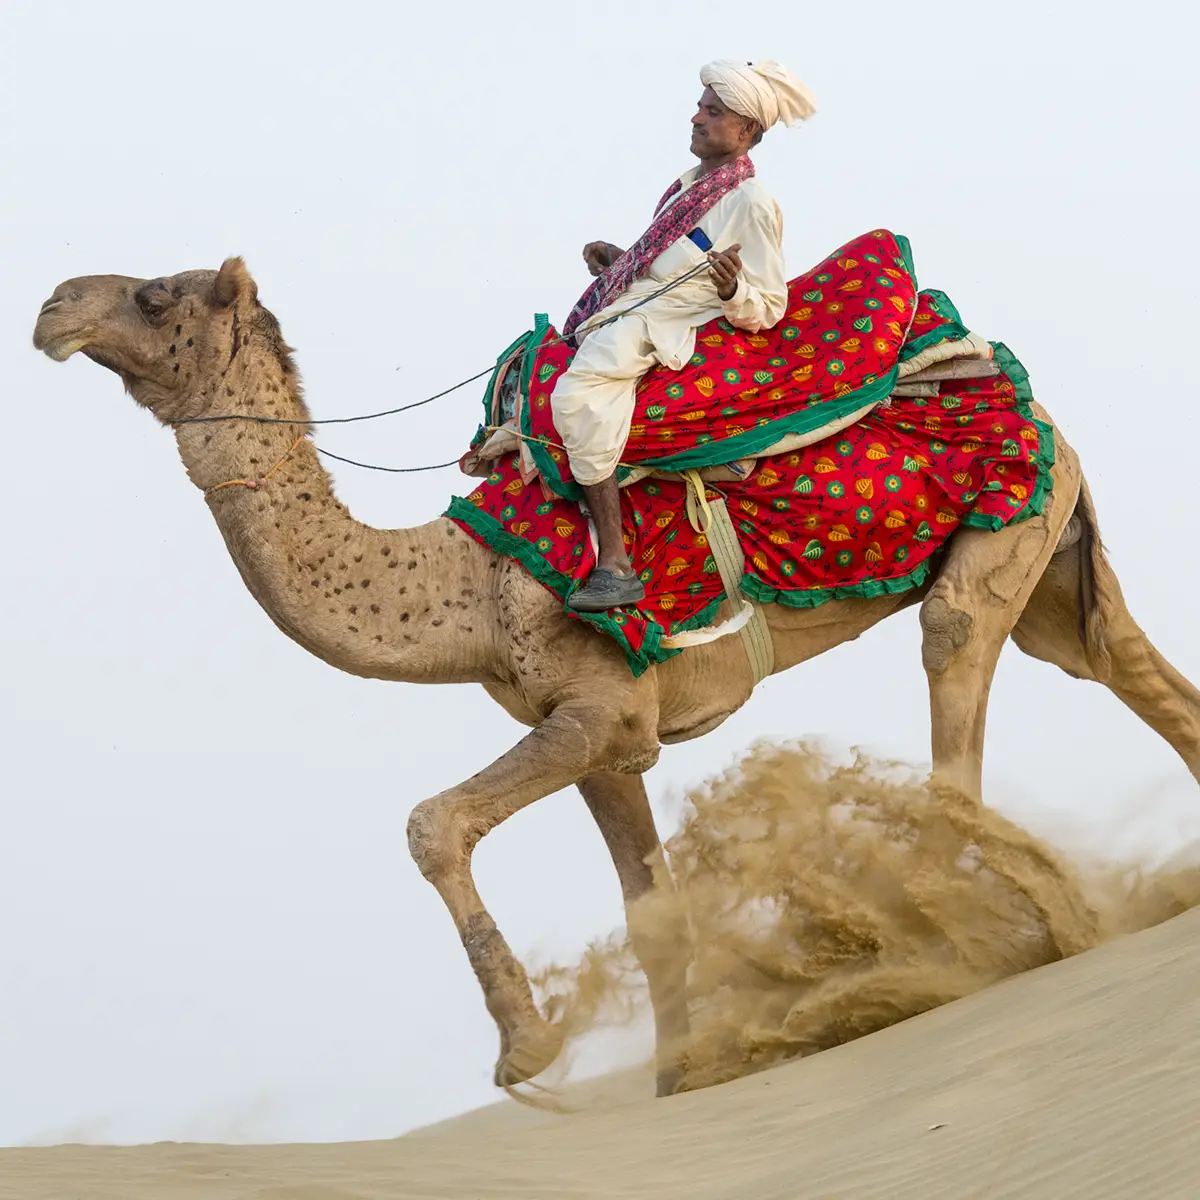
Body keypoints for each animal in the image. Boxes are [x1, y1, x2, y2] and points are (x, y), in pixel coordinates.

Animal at [32, 258, 1200, 1098]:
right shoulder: (606, 739)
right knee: (1125, 668)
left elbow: (430, 823)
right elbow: (650, 914)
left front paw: (529, 1051)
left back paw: (1022, 935)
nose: (51, 306)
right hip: (1046, 553)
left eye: (153, 292)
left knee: (954, 703)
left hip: (999, 539)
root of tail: (1005, 375)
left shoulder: (594, 704)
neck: (462, 587)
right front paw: (685, 1080)